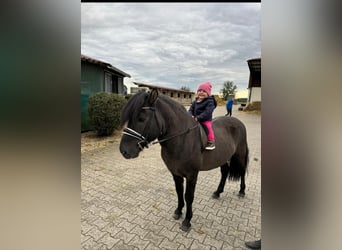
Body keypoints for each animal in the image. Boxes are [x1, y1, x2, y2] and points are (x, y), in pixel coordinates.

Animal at [120, 89, 248, 231]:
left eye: (141, 119)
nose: (124, 150)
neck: (182, 139)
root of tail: (238, 122)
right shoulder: (176, 173)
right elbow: (179, 192)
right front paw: (178, 211)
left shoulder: (192, 175)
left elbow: (188, 196)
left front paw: (187, 220)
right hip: (224, 157)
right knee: (225, 172)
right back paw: (218, 192)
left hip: (239, 155)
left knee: (242, 171)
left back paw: (242, 191)